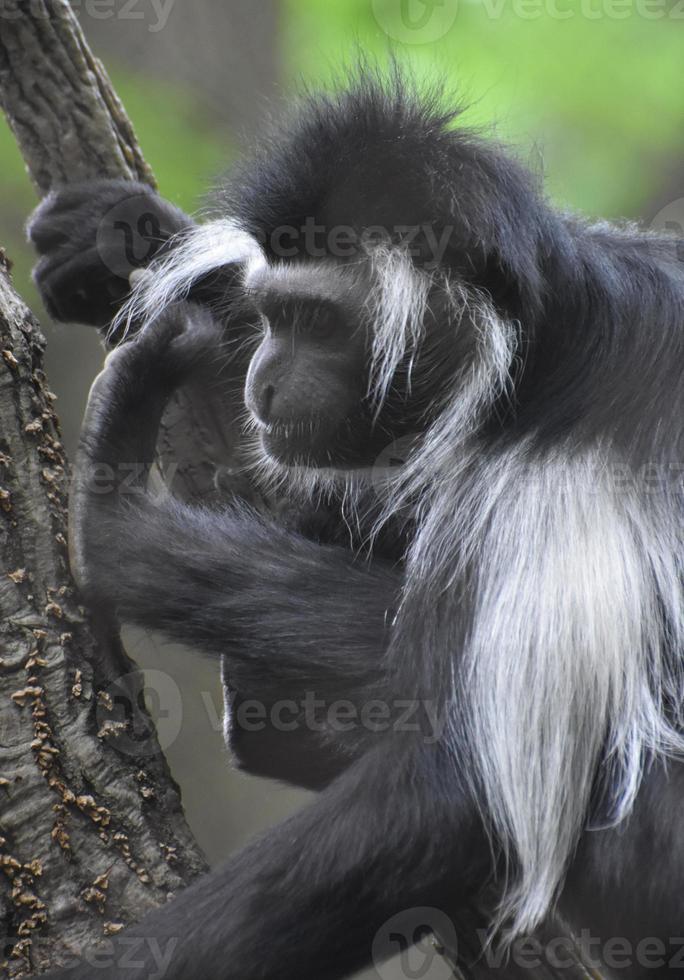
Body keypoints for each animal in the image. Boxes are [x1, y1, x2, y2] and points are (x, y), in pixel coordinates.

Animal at [26, 76, 684, 980]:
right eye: (272, 314)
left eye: (318, 322)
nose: (264, 378)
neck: (530, 354)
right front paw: (129, 237)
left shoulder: (561, 471)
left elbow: (460, 784)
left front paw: (116, 525)